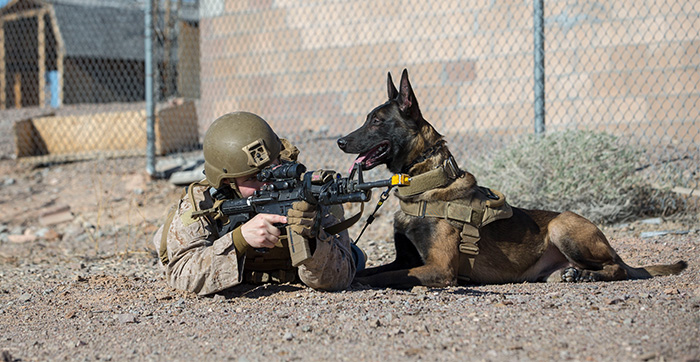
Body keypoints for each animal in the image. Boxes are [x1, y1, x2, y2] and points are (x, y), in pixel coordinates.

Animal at [340, 68, 688, 288]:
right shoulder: (405, 259)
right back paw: (574, 275)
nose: (341, 141)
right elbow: (379, 269)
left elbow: (382, 276)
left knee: (617, 269)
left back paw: (588, 276)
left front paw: (357, 281)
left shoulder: (439, 268)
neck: (425, 183)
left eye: (377, 121)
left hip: (563, 225)